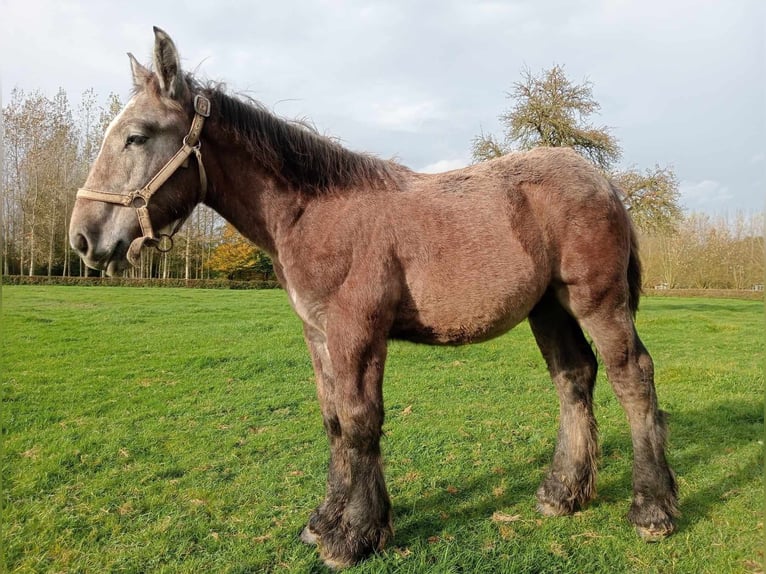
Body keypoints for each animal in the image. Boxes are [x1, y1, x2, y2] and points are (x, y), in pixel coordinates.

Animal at [66, 28, 680, 572]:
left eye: (137, 136)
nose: (83, 239)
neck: (313, 213)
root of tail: (602, 181)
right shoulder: (319, 334)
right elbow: (334, 421)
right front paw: (325, 521)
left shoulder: (356, 331)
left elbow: (361, 422)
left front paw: (355, 534)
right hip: (549, 309)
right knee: (574, 377)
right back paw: (563, 493)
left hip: (597, 302)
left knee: (632, 377)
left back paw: (653, 509)